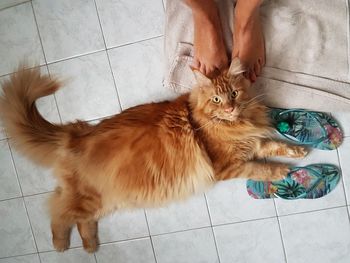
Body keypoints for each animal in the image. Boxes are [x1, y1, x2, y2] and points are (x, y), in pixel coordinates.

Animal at [0, 59, 306, 254]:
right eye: (217, 100)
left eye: (234, 93)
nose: (230, 108)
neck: (236, 124)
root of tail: (76, 133)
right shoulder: (227, 166)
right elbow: (261, 168)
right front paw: (282, 172)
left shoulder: (252, 143)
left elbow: (273, 146)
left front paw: (299, 151)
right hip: (88, 199)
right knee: (57, 211)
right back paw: (61, 246)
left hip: (103, 201)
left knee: (77, 216)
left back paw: (90, 246)